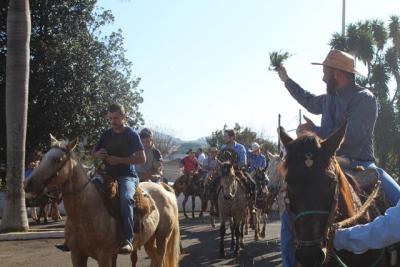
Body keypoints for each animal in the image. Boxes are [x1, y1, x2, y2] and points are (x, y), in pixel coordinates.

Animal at [25, 137, 180, 267]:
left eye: (57, 159)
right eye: (43, 157)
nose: (28, 183)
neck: (84, 213)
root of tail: (163, 188)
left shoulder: (104, 256)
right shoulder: (77, 255)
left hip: (163, 238)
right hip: (149, 239)